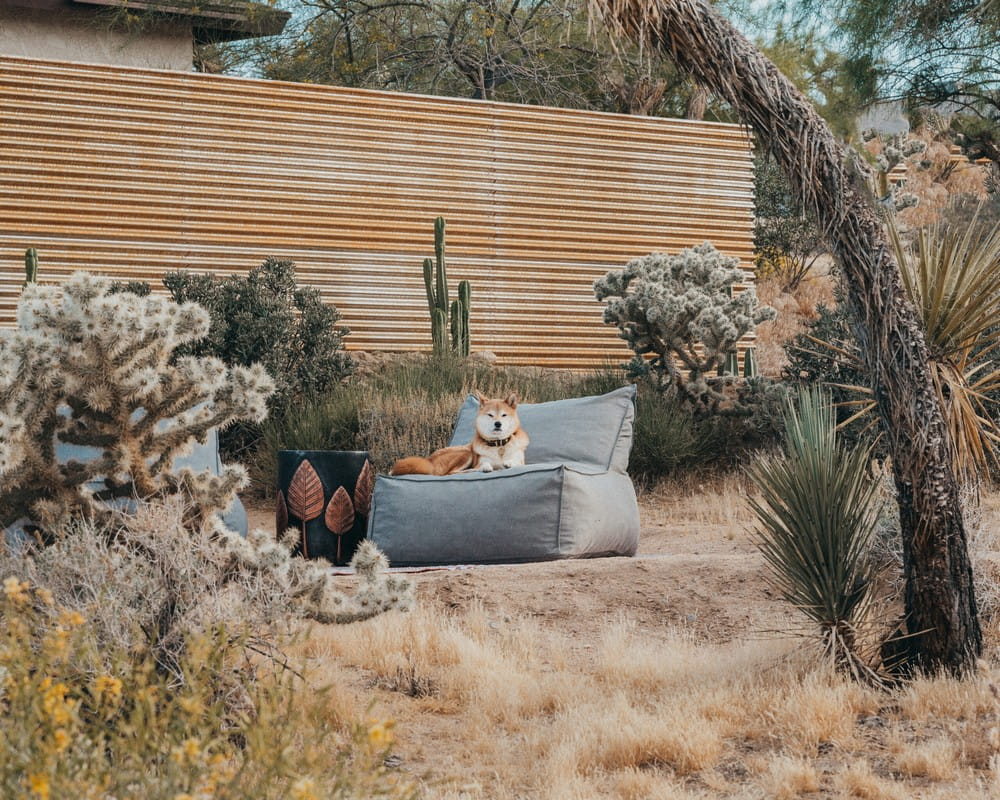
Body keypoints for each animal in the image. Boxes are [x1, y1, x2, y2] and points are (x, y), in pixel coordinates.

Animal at [390, 392, 532, 476]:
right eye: (490, 415)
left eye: (504, 415)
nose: (498, 424)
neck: (499, 445)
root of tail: (429, 461)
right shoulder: (480, 460)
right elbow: (484, 464)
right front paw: (485, 467)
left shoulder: (521, 461)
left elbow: (515, 462)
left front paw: (508, 463)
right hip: (465, 453)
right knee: (452, 473)